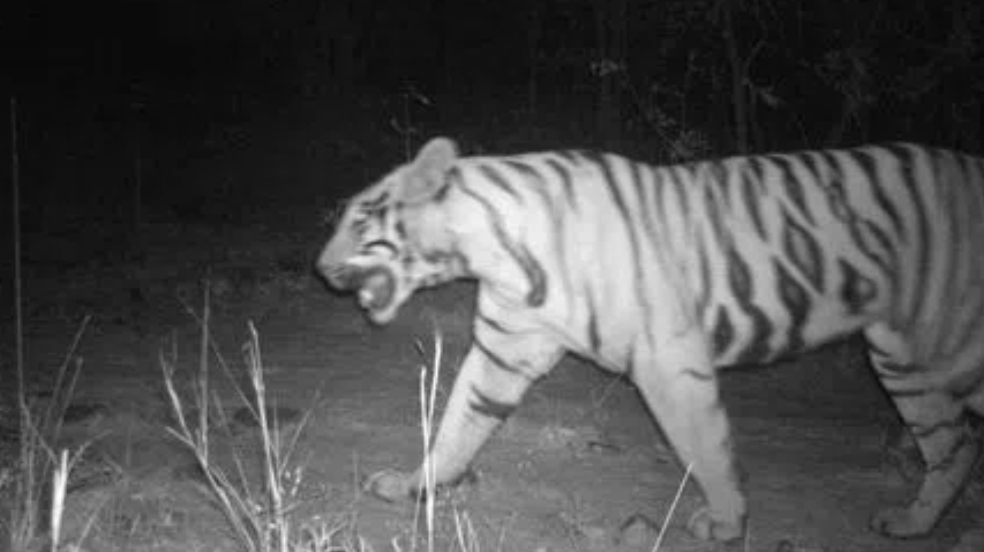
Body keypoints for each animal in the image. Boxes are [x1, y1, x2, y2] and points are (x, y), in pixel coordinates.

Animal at [316, 136, 984, 542]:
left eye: (360, 217)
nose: (319, 270)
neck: (490, 250)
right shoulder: (507, 348)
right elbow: (458, 422)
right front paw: (413, 487)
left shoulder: (669, 361)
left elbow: (704, 446)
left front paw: (727, 523)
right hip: (903, 359)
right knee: (955, 444)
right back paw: (912, 523)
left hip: (944, 345)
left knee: (955, 440)